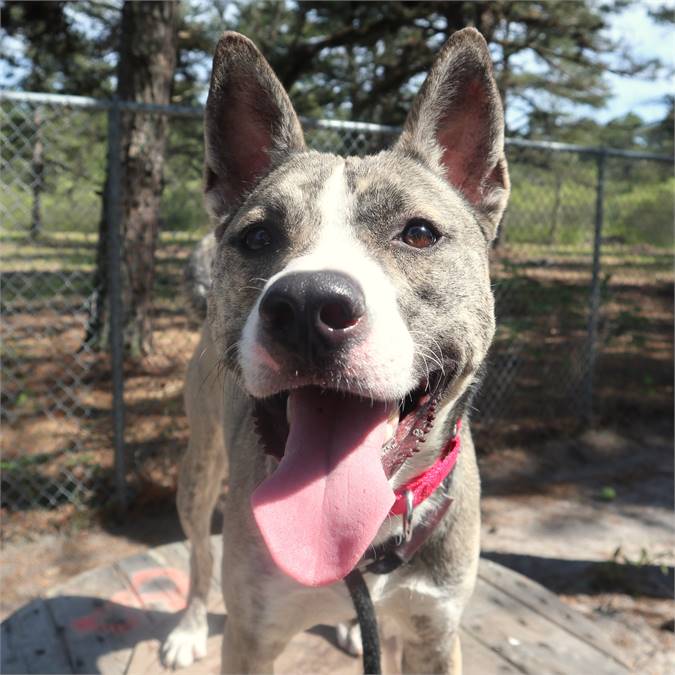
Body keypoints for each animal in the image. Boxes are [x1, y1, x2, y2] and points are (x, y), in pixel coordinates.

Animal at [162, 27, 508, 675]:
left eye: (418, 233)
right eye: (258, 236)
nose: (305, 307)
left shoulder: (435, 633)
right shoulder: (250, 637)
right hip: (198, 470)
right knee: (197, 555)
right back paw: (189, 627)